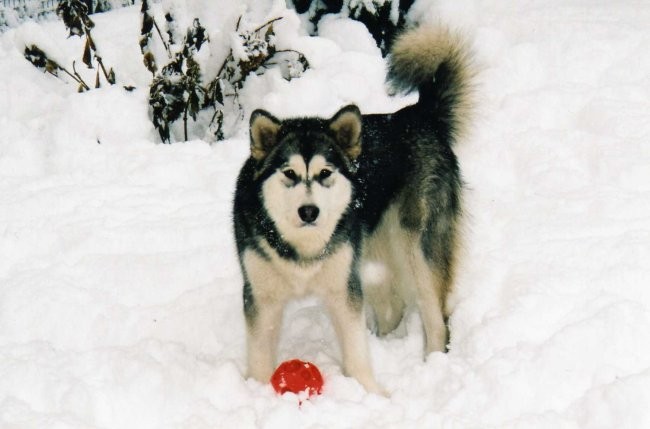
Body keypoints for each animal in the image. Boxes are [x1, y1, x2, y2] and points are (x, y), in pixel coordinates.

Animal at [233, 25, 470, 394]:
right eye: (289, 174)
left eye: (324, 173)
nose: (309, 212)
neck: (303, 250)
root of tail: (416, 114)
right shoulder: (261, 295)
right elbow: (260, 355)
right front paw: (257, 392)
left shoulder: (343, 289)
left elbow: (356, 351)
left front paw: (371, 394)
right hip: (371, 252)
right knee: (393, 304)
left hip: (417, 247)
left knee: (436, 320)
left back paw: (433, 367)